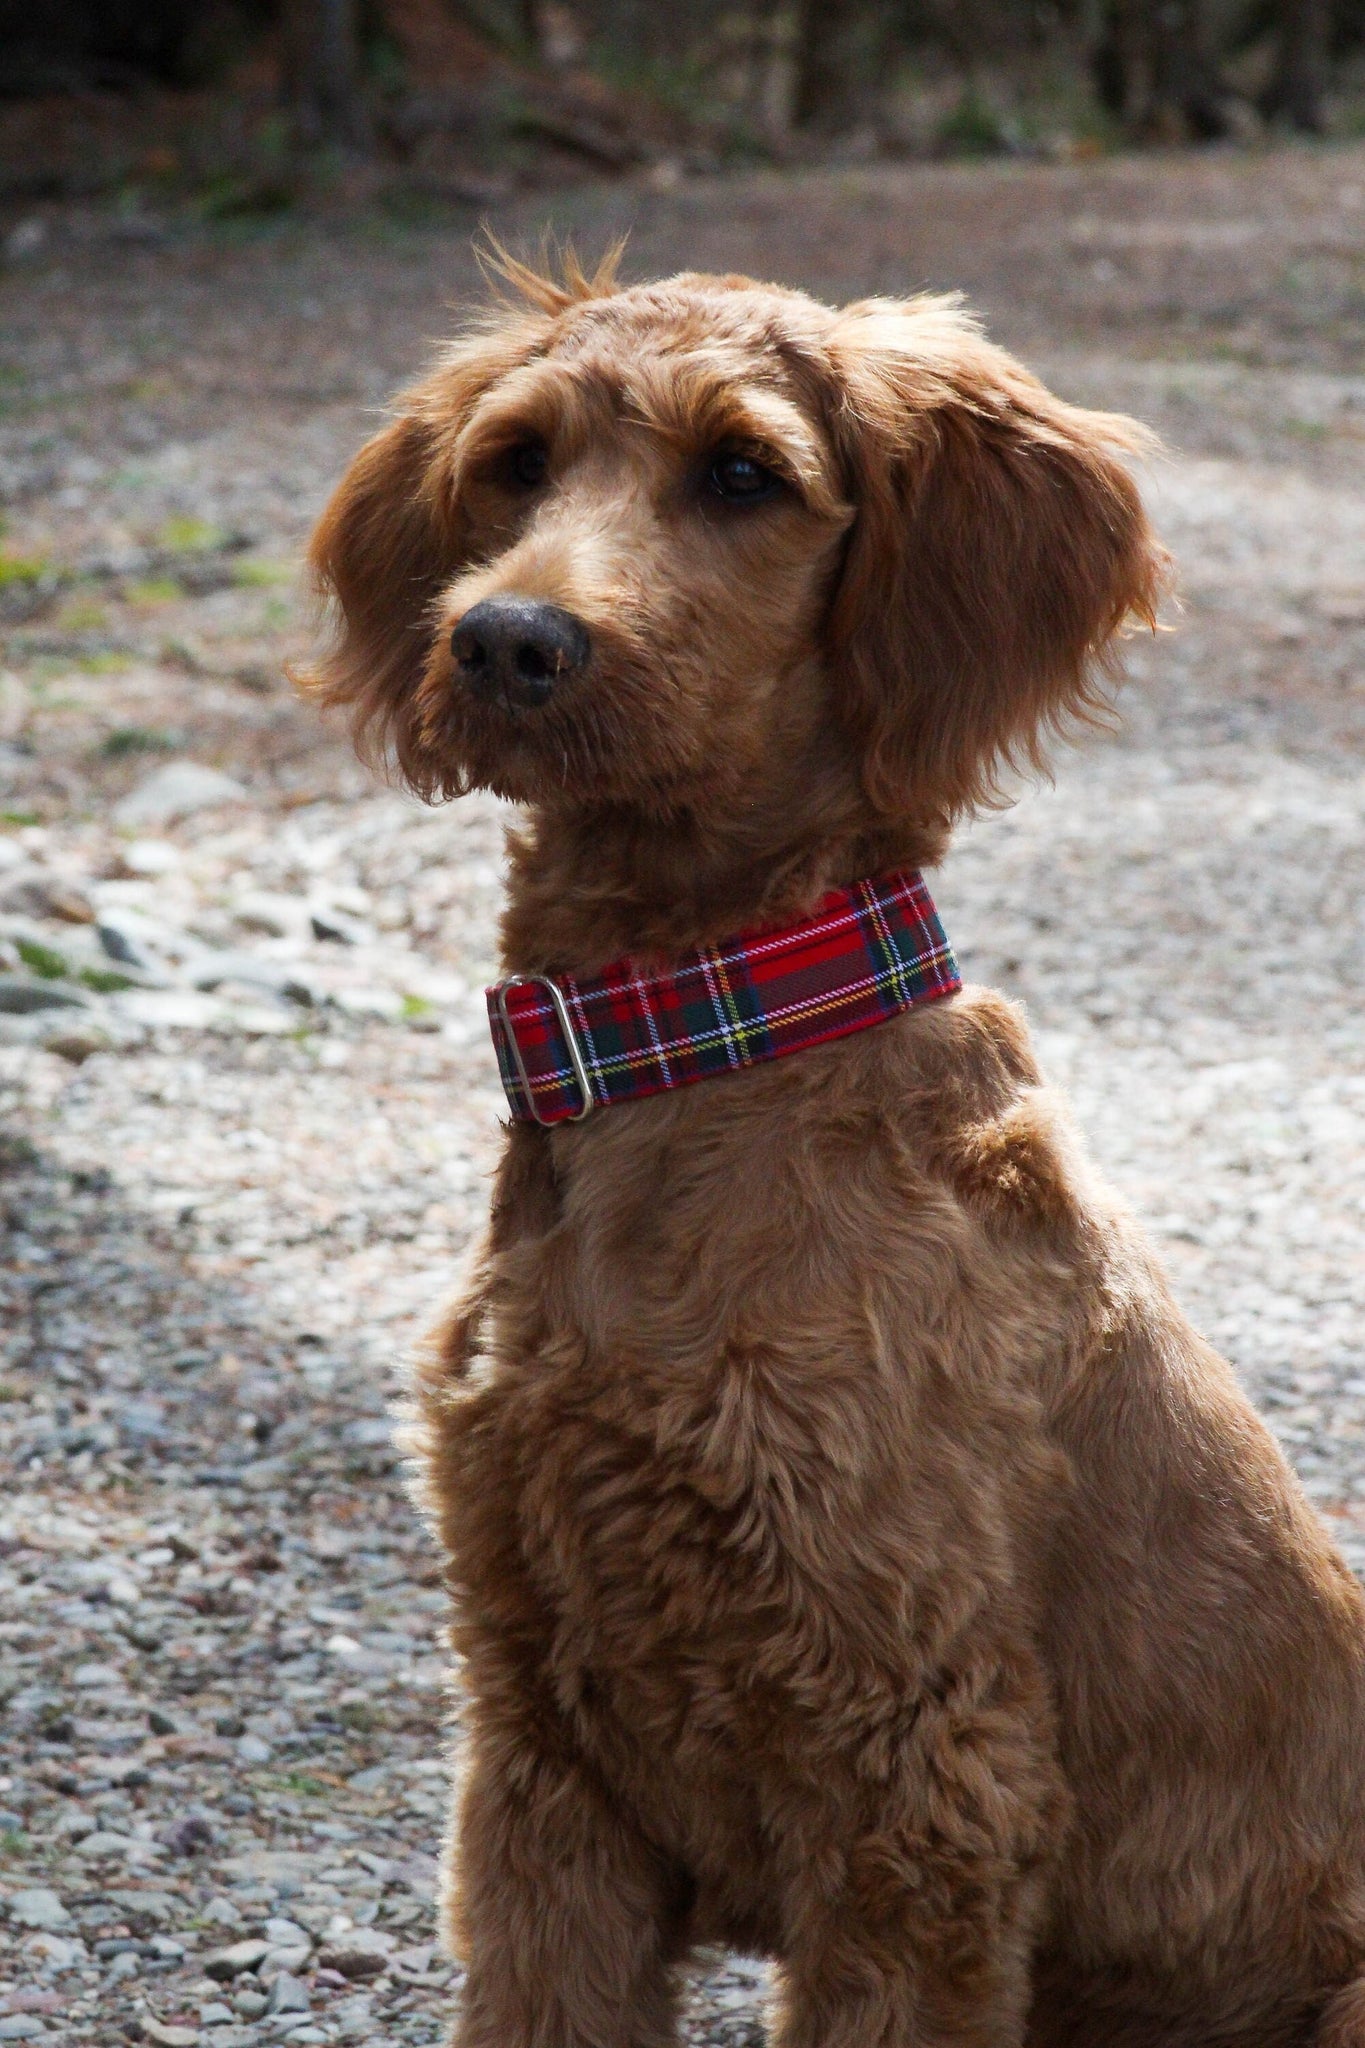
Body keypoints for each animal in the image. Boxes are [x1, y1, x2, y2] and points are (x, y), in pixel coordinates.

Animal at [304, 251, 1365, 2048]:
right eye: (515, 462)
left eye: (744, 474)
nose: (507, 636)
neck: (691, 1038)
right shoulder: (538, 1765)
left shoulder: (916, 1786)